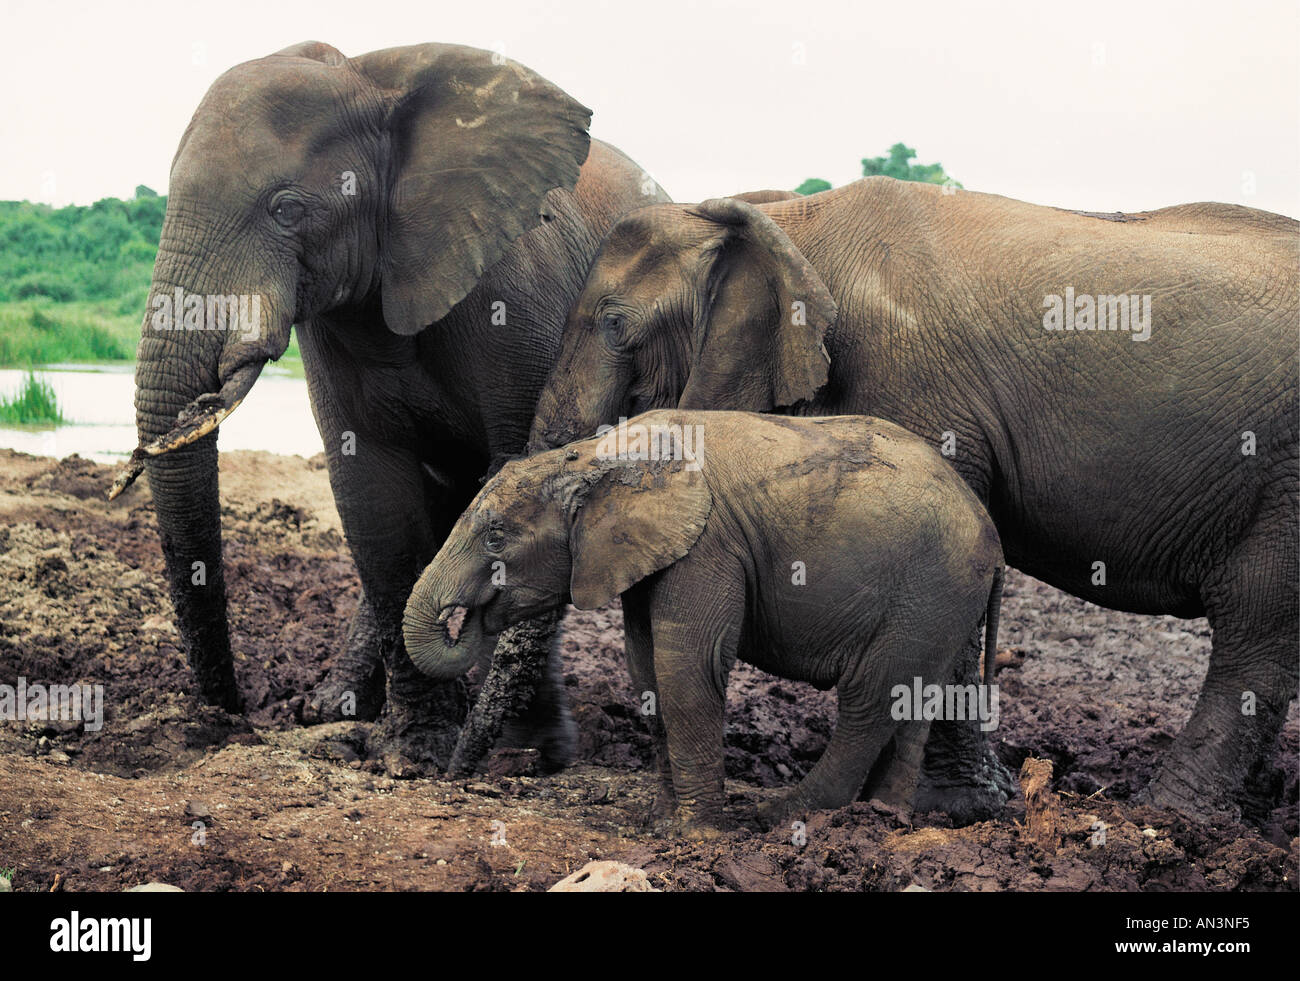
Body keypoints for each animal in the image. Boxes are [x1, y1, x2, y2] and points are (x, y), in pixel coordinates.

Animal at [108, 40, 670, 773]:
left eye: (286, 209)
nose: (233, 719)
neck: (370, 80)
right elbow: (374, 494)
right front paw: (419, 750)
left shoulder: (525, 295)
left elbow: (522, 484)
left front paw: (515, 753)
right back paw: (331, 708)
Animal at [403, 409, 1005, 831]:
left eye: (496, 536)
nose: (454, 780)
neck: (593, 457)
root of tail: (991, 533)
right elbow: (646, 669)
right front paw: (663, 824)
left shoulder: (706, 547)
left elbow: (689, 667)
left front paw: (699, 835)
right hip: (940, 603)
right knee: (911, 702)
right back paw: (881, 820)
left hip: (931, 587)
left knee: (868, 699)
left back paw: (780, 818)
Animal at [526, 181, 1300, 823]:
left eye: (615, 327)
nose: (538, 764)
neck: (784, 218)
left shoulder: (912, 386)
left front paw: (941, 809)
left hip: (1285, 477)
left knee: (1256, 629)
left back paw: (1168, 817)